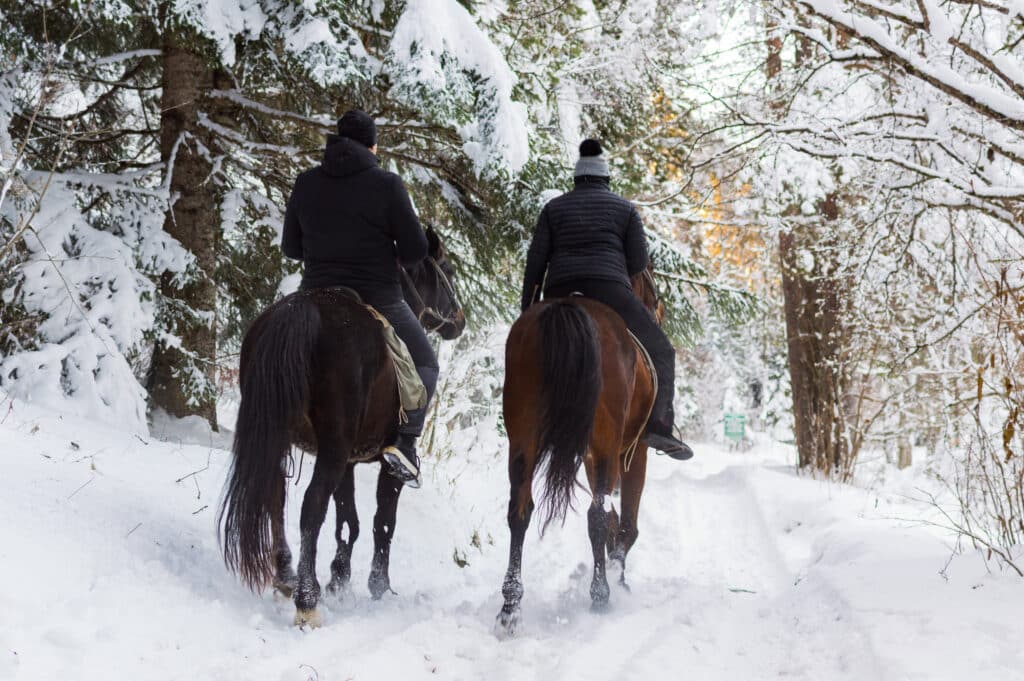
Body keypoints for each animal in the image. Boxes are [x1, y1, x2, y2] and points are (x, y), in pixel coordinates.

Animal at [219, 226, 466, 628]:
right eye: (448, 270)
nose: (459, 321)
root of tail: (300, 313)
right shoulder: (383, 465)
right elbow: (382, 521)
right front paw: (378, 585)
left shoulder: (348, 459)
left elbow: (348, 520)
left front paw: (340, 579)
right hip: (332, 447)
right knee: (311, 507)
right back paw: (307, 601)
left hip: (285, 435)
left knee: (276, 495)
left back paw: (287, 576)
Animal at [496, 269, 663, 635]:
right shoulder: (634, 452)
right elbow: (625, 522)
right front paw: (618, 573)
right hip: (605, 447)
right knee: (596, 515)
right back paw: (600, 596)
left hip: (524, 437)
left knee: (519, 511)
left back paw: (510, 605)